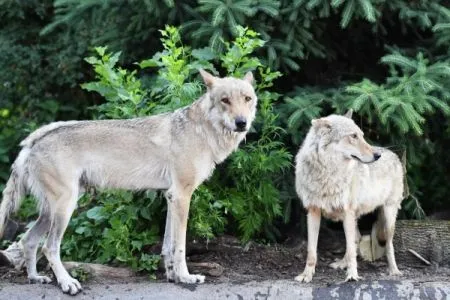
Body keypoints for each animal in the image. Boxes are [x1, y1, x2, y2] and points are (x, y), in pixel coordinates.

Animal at [0, 69, 256, 294]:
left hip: (51, 211)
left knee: (27, 240)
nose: (241, 122)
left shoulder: (171, 197)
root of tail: (33, 140)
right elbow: (180, 246)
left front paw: (172, 275)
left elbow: (167, 245)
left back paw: (35, 278)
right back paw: (67, 283)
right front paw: (186, 277)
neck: (203, 130)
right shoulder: (182, 196)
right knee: (49, 247)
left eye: (247, 99)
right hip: (65, 208)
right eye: (225, 100)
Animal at [296, 110, 404, 284]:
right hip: (350, 217)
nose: (377, 155)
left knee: (388, 245)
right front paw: (307, 275)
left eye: (361, 135)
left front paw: (352, 275)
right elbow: (311, 251)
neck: (327, 173)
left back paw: (394, 271)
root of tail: (393, 154)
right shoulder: (313, 212)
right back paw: (342, 263)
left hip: (387, 216)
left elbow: (353, 250)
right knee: (356, 239)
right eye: (353, 136)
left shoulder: (347, 211)